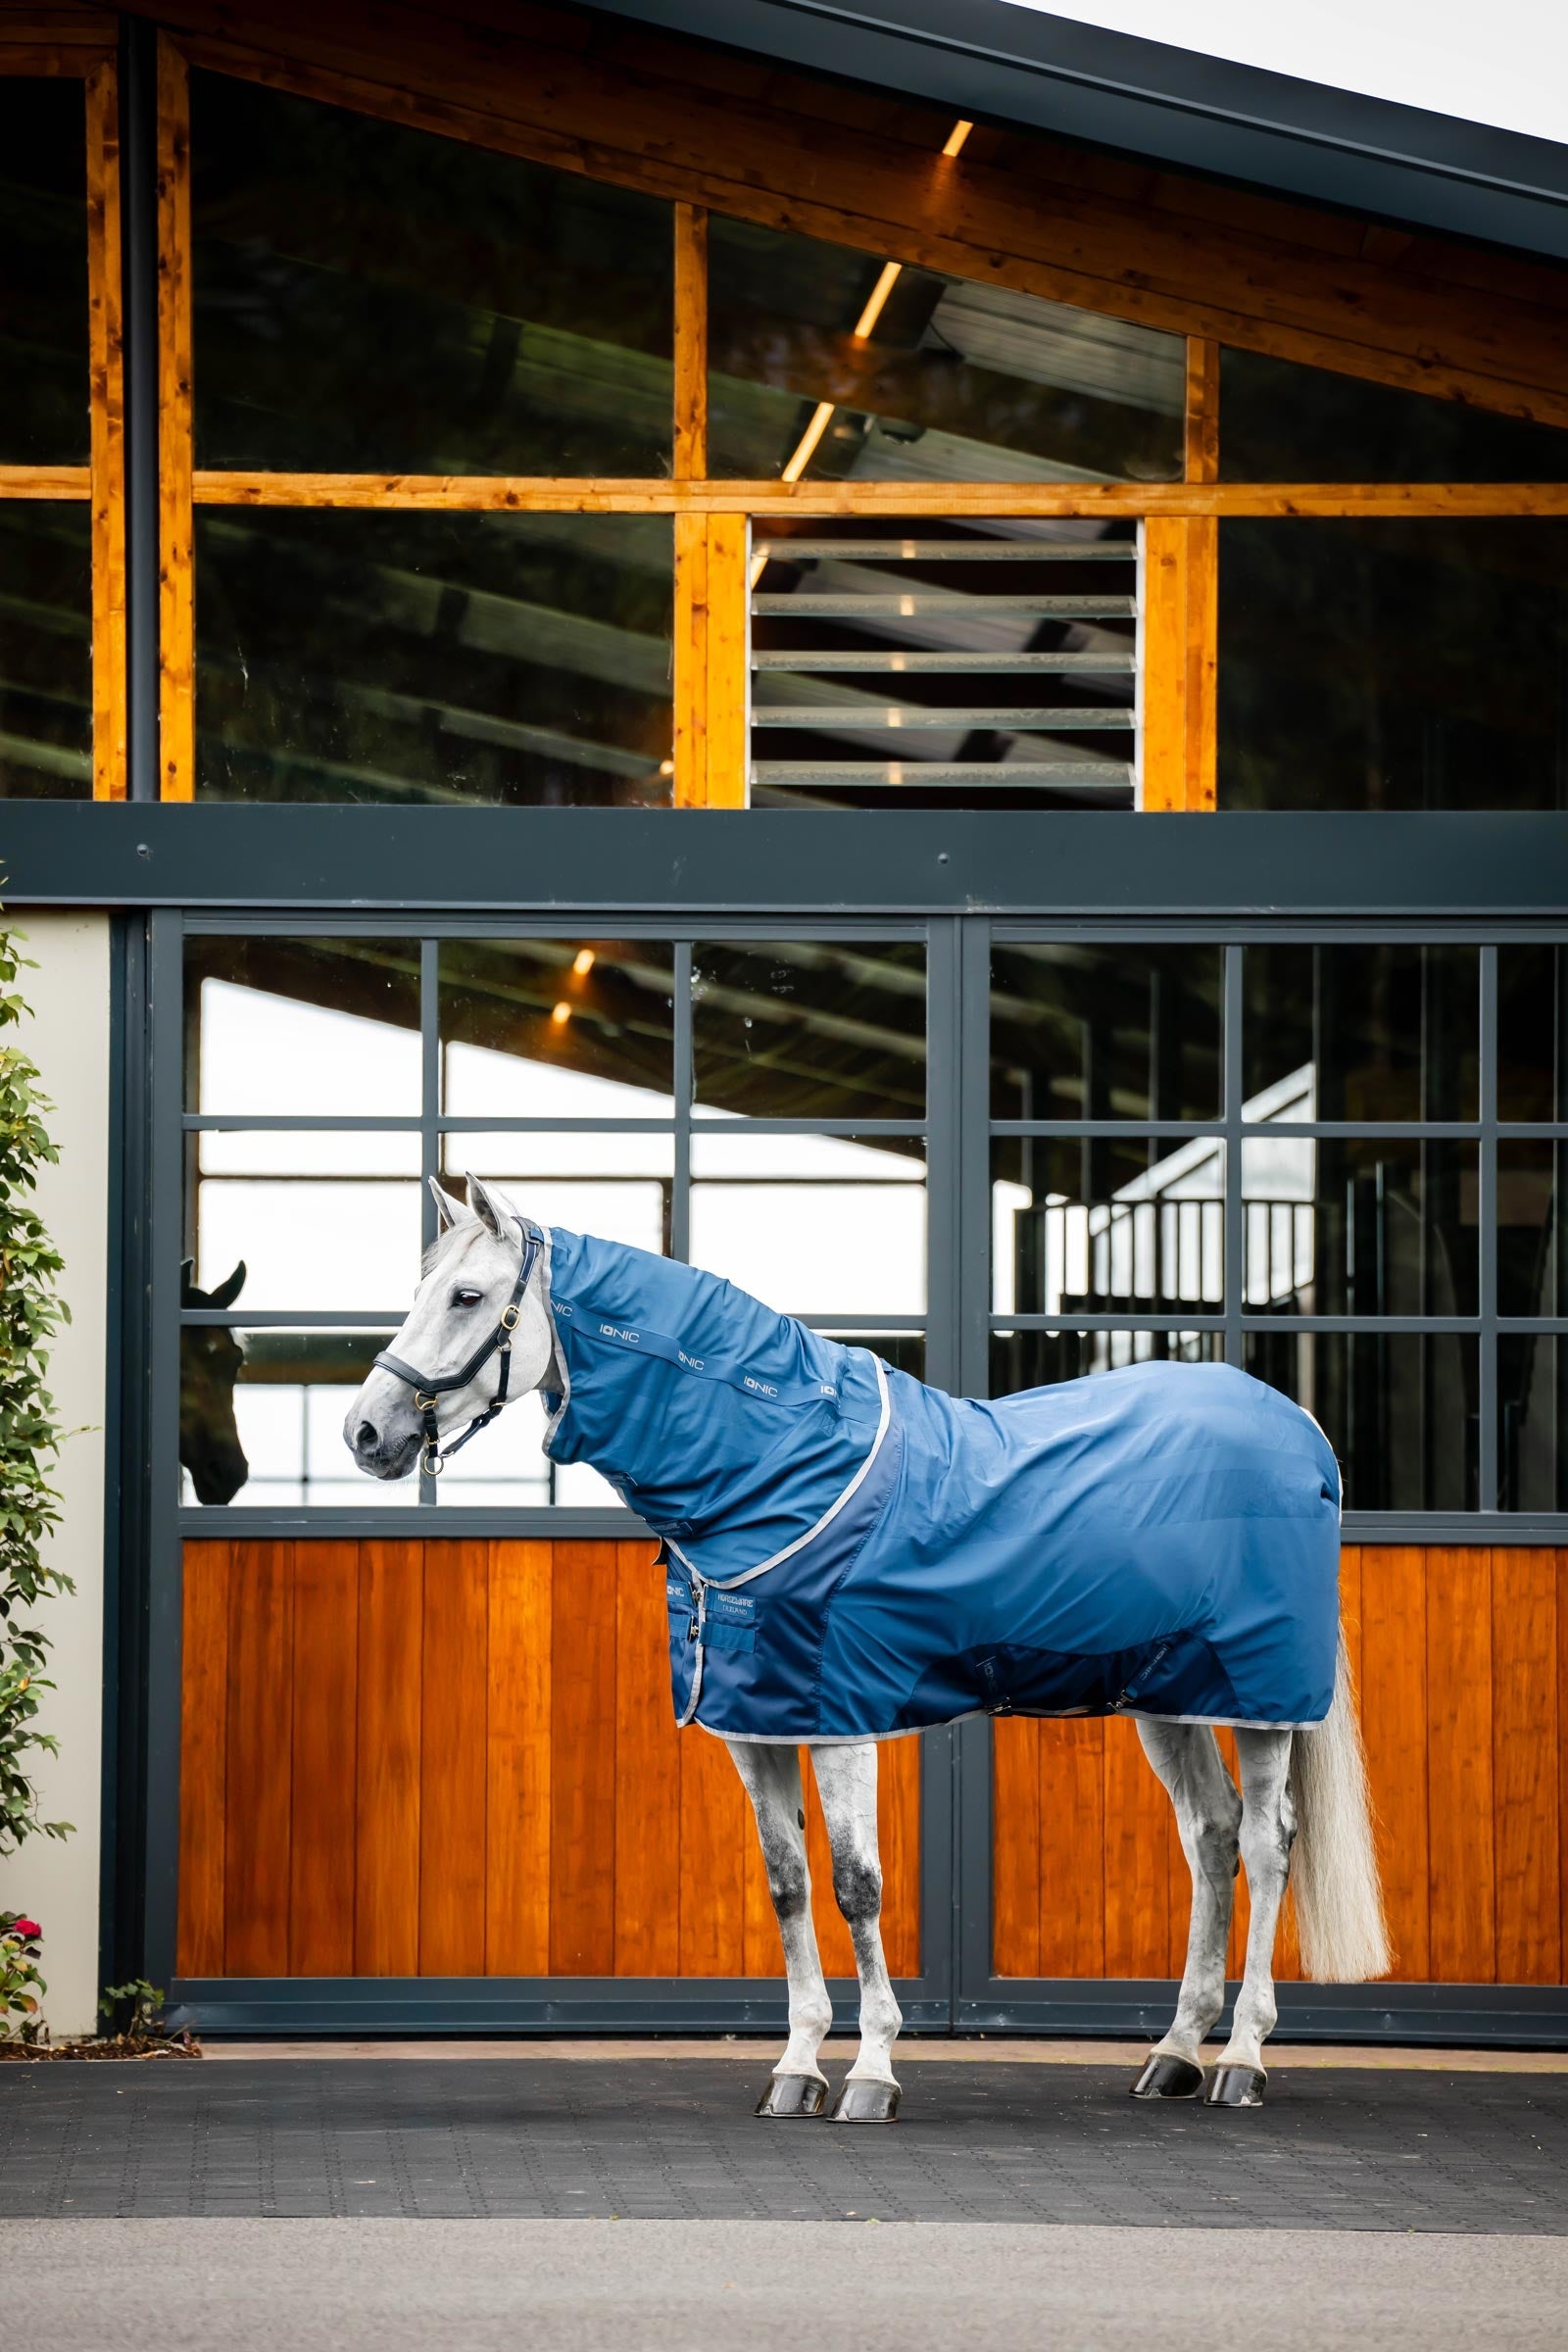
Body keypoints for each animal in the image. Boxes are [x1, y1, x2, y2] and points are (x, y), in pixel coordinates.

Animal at [344, 1174, 1388, 2121]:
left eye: (466, 1296)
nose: (365, 1432)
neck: (777, 1461)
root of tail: (1300, 1427)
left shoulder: (840, 1715)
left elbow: (856, 1888)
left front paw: (874, 2073)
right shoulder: (756, 1726)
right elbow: (788, 1886)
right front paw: (797, 2069)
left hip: (1260, 1701)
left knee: (1266, 1842)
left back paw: (1241, 2059)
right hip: (1173, 1695)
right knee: (1211, 1837)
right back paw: (1172, 2054)